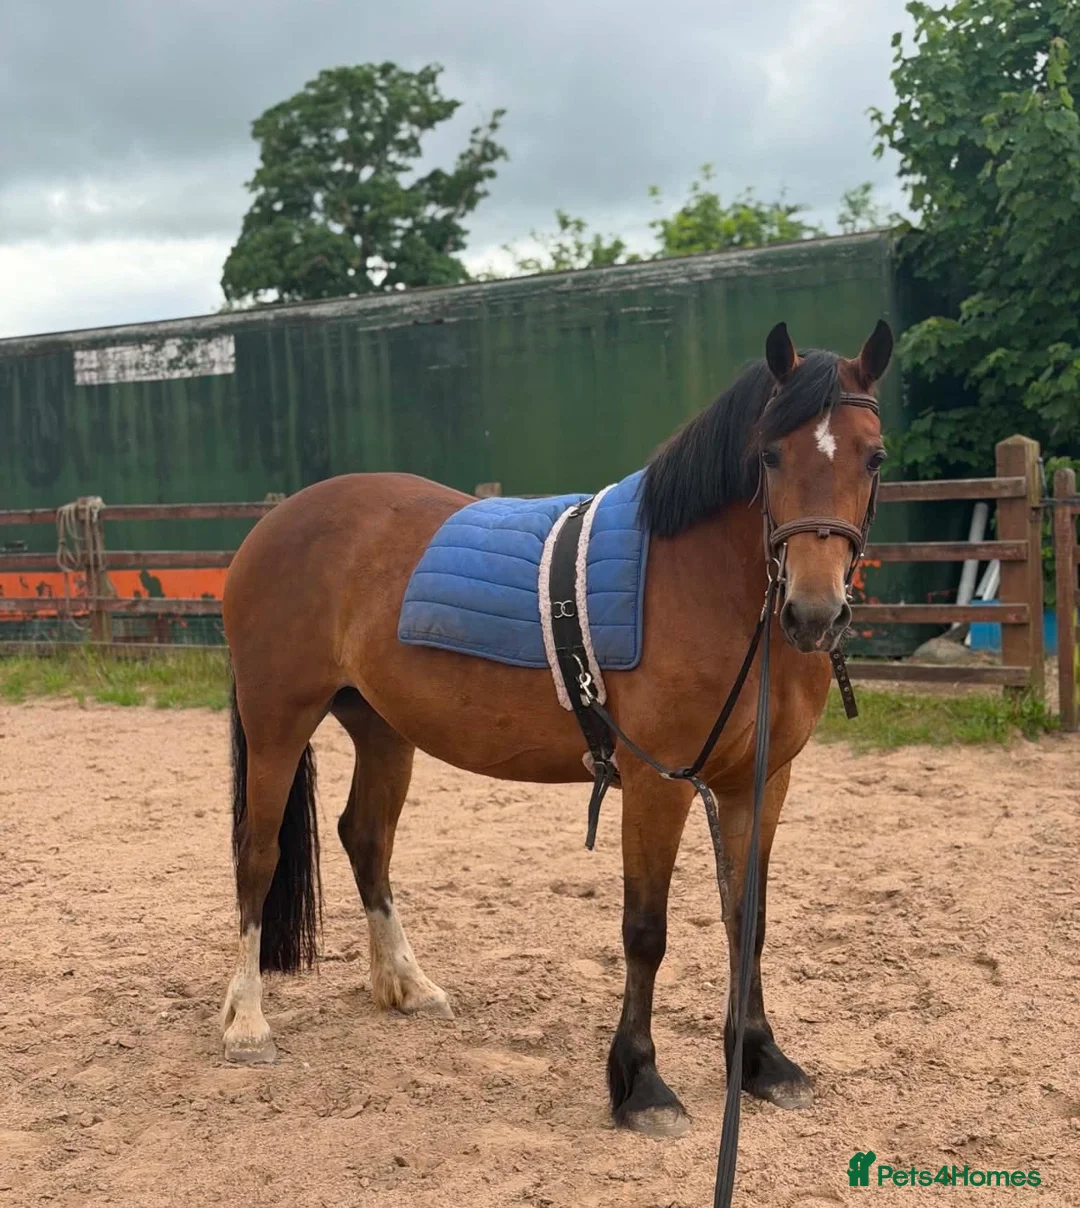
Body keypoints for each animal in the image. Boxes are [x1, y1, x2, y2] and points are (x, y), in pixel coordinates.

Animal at [220, 318, 893, 1140]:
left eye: (873, 456)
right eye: (769, 455)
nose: (814, 612)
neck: (704, 584)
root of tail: (272, 525)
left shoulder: (759, 782)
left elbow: (747, 919)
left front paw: (761, 1059)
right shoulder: (657, 783)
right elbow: (646, 932)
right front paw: (641, 1085)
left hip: (381, 729)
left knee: (365, 839)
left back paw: (408, 984)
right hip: (277, 720)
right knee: (258, 852)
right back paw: (248, 1025)